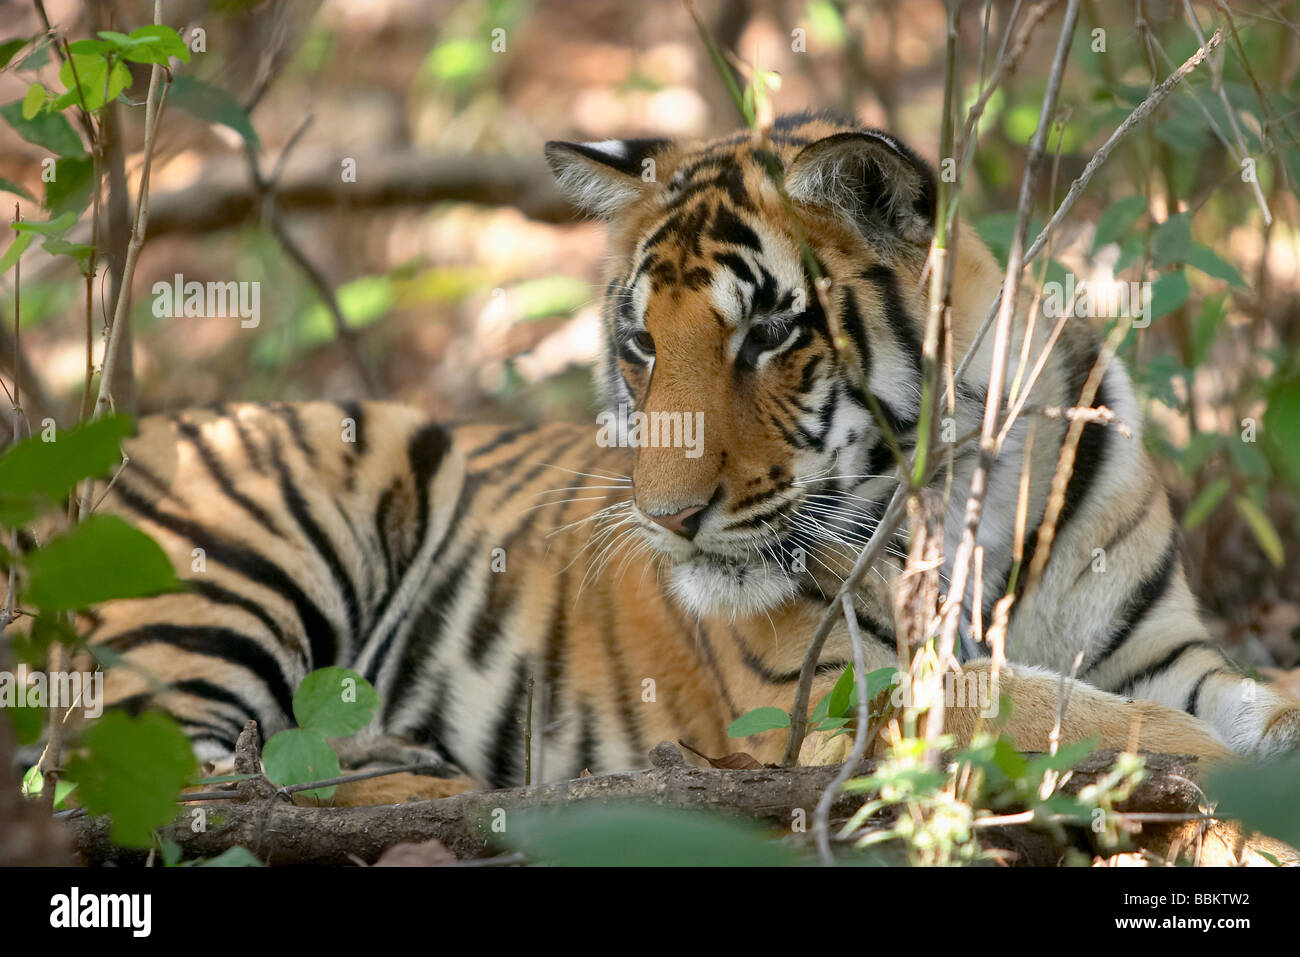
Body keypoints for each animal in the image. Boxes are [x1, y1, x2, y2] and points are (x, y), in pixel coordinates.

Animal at [12, 110, 1300, 790]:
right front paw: (1194, 768)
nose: (669, 519)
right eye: (640, 343)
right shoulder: (824, 695)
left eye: (769, 334)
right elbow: (1040, 710)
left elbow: (1235, 695)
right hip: (250, 563)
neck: (976, 484)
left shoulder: (1156, 650)